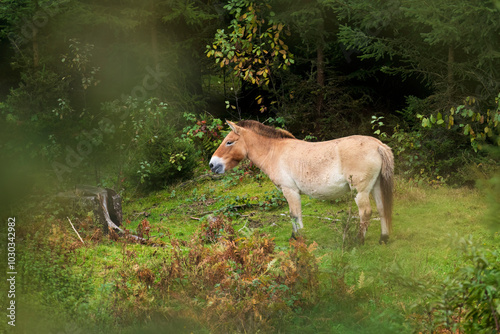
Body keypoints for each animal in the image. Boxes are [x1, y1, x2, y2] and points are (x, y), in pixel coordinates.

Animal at [209, 120, 392, 243]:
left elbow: (295, 215)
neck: (274, 152)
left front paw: (298, 238)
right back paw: (383, 238)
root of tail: (378, 145)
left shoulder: (290, 190)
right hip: (375, 187)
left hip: (360, 192)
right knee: (382, 209)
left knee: (365, 212)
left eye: (229, 142)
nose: (212, 164)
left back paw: (358, 241)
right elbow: (293, 215)